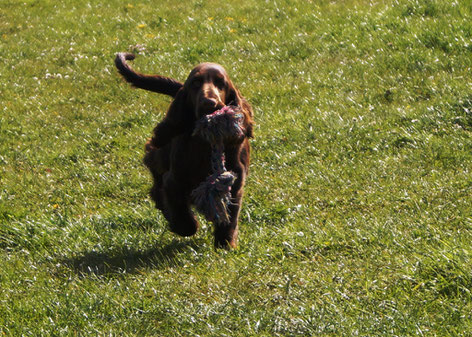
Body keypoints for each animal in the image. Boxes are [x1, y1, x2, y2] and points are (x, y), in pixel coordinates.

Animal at [115, 52, 253, 247]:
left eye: (221, 83)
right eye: (195, 83)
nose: (209, 103)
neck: (204, 145)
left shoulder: (234, 180)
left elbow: (230, 215)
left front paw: (225, 243)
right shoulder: (175, 180)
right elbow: (182, 215)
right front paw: (184, 225)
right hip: (160, 155)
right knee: (156, 184)